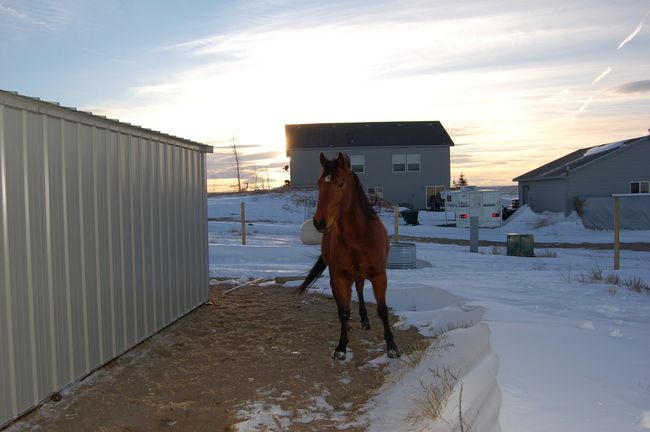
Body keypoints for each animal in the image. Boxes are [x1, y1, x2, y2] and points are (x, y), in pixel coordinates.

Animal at [298, 152, 400, 360]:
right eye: (319, 184)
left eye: (340, 183)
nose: (319, 222)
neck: (358, 238)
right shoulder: (340, 278)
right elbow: (344, 311)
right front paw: (341, 346)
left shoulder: (379, 276)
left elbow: (383, 310)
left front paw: (392, 346)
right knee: (343, 300)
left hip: (361, 275)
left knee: (359, 289)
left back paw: (364, 320)